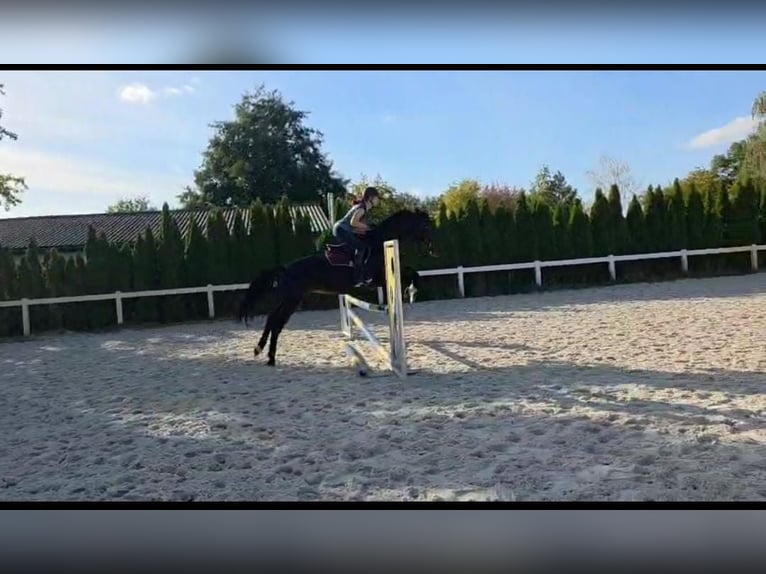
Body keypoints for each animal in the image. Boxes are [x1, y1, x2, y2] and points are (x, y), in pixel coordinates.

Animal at [237, 209, 436, 366]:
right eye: (426, 226)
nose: (432, 249)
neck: (380, 244)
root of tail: (286, 268)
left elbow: (412, 272)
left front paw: (411, 292)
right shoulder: (380, 278)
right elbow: (411, 273)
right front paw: (411, 292)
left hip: (288, 299)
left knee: (271, 319)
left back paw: (260, 350)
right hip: (292, 300)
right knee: (277, 323)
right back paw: (270, 357)